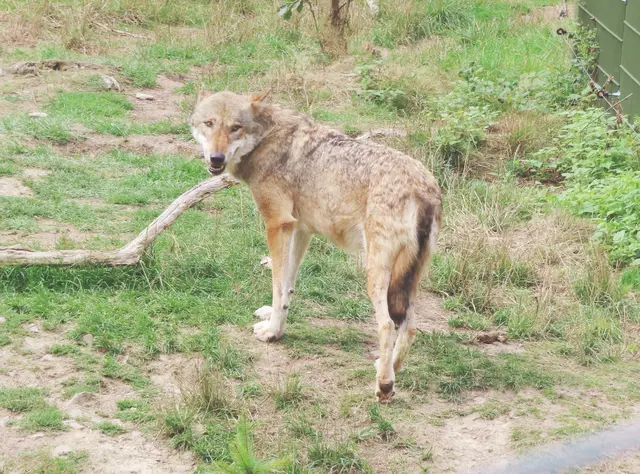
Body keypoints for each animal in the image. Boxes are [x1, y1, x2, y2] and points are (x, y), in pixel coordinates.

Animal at [190, 89, 442, 403]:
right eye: (209, 123)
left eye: (235, 127)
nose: (216, 157)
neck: (267, 138)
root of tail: (424, 190)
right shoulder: (300, 228)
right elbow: (287, 286)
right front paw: (275, 321)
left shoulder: (277, 224)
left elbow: (277, 286)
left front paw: (271, 333)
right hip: (408, 281)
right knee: (410, 328)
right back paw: (388, 371)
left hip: (375, 276)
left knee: (386, 325)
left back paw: (383, 386)